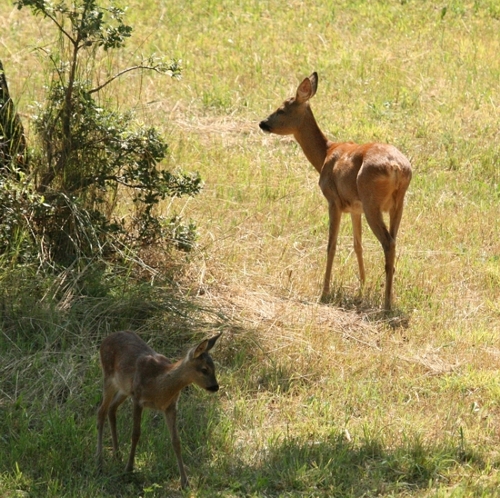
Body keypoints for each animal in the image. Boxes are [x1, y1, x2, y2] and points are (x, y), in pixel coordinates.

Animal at [96, 328, 222, 488]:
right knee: (101, 411)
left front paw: (185, 482)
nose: (215, 387)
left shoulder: (170, 406)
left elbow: (176, 441)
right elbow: (135, 434)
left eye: (214, 368)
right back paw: (100, 459)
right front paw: (129, 469)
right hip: (108, 376)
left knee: (112, 409)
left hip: (124, 388)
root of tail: (106, 339)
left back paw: (117, 454)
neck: (159, 385)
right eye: (204, 369)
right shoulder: (137, 398)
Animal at [260, 71, 412, 310]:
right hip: (397, 203)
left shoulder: (333, 200)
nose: (263, 123)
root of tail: (397, 167)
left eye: (282, 108)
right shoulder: (355, 208)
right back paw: (389, 297)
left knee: (387, 242)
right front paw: (362, 287)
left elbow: (331, 245)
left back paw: (386, 305)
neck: (325, 153)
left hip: (372, 202)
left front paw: (324, 292)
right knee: (394, 241)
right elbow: (357, 244)